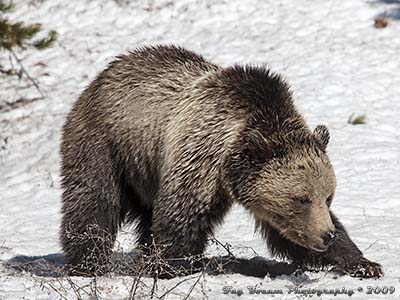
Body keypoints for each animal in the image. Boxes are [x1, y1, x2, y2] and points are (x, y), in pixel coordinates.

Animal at [61, 44, 382, 278]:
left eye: (328, 197)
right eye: (301, 198)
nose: (326, 235)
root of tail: (104, 73)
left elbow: (287, 233)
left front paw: (363, 263)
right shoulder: (201, 157)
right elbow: (182, 215)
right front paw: (169, 267)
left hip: (145, 169)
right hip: (107, 143)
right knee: (93, 201)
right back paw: (87, 262)